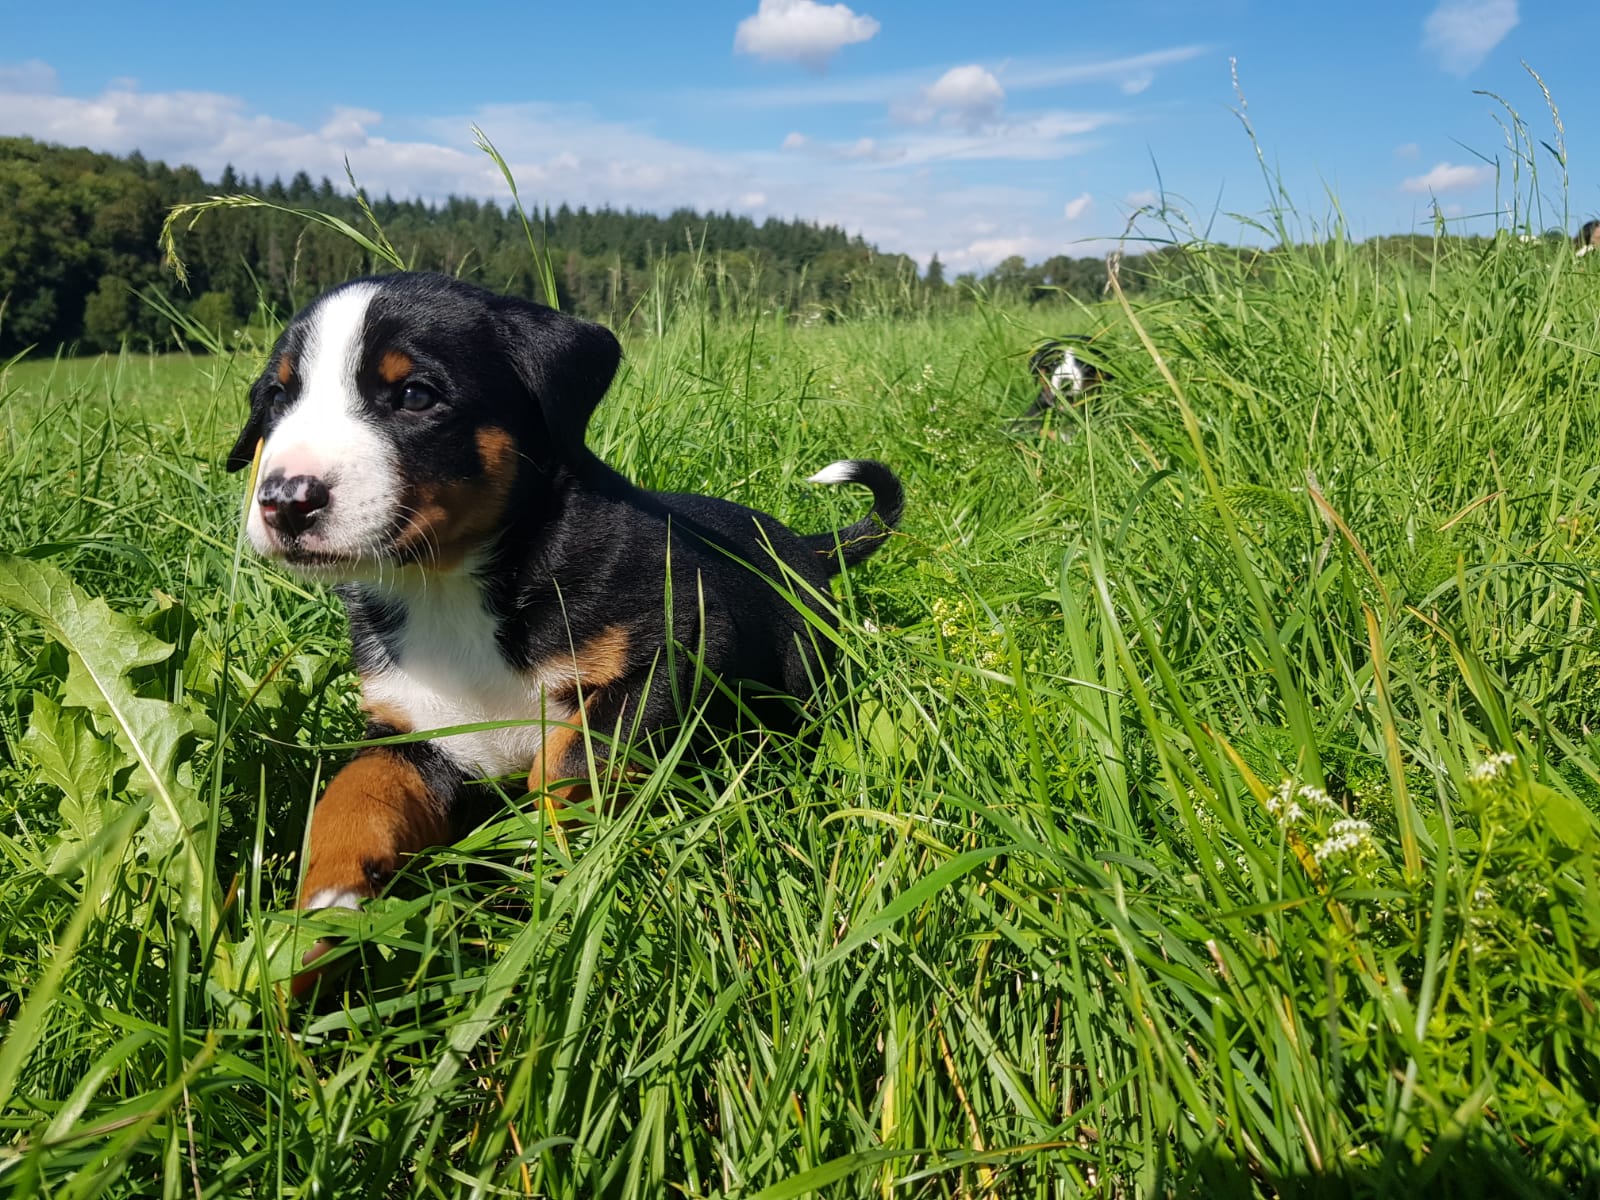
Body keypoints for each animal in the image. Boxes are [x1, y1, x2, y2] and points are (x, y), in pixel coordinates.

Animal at [227, 275, 908, 998]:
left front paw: (549, 882)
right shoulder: (413, 731)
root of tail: (803, 543)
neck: (448, 590)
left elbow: (568, 768)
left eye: (415, 395)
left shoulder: (672, 652)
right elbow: (351, 797)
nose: (286, 500)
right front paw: (312, 927)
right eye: (277, 398)